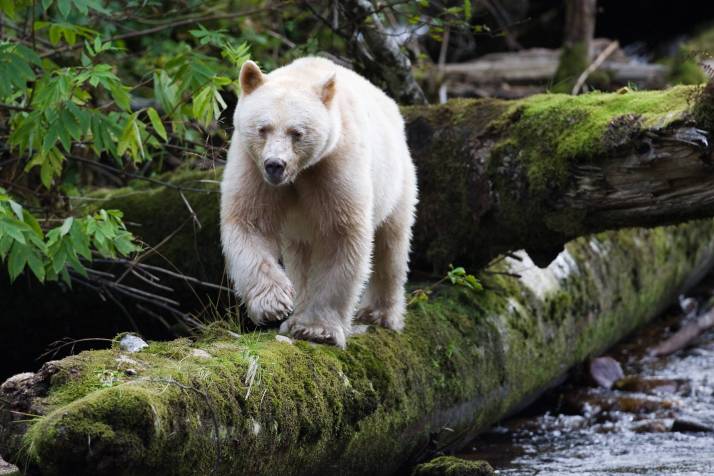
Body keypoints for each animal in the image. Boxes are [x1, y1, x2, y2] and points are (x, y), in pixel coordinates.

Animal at [220, 56, 418, 348]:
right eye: (262, 128)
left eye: (297, 133)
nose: (275, 165)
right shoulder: (252, 166)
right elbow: (250, 222)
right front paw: (274, 304)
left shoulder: (334, 164)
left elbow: (340, 235)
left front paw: (317, 329)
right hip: (299, 228)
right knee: (300, 257)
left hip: (397, 180)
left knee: (391, 244)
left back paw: (380, 314)